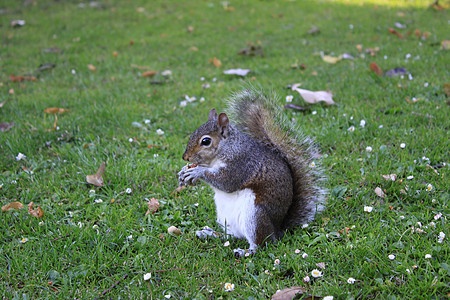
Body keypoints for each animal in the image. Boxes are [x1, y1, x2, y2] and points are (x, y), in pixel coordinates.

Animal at [178, 88, 326, 256]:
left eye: (206, 141)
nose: (185, 157)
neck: (227, 149)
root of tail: (278, 229)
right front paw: (183, 172)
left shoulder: (241, 165)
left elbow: (225, 182)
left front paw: (197, 172)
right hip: (226, 218)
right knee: (232, 236)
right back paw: (209, 233)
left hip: (255, 215)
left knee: (263, 243)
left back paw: (246, 251)